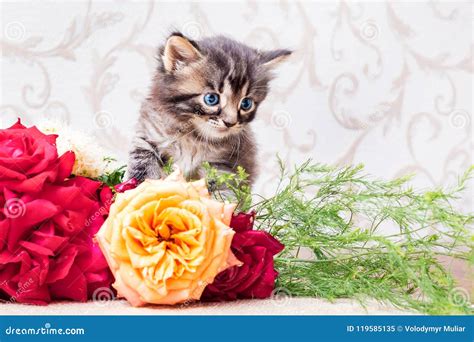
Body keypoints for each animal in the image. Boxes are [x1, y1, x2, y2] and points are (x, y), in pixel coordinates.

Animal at [127, 31, 288, 186]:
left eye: (246, 104)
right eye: (211, 99)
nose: (230, 123)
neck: (193, 136)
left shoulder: (225, 164)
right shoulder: (147, 137)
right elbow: (143, 171)